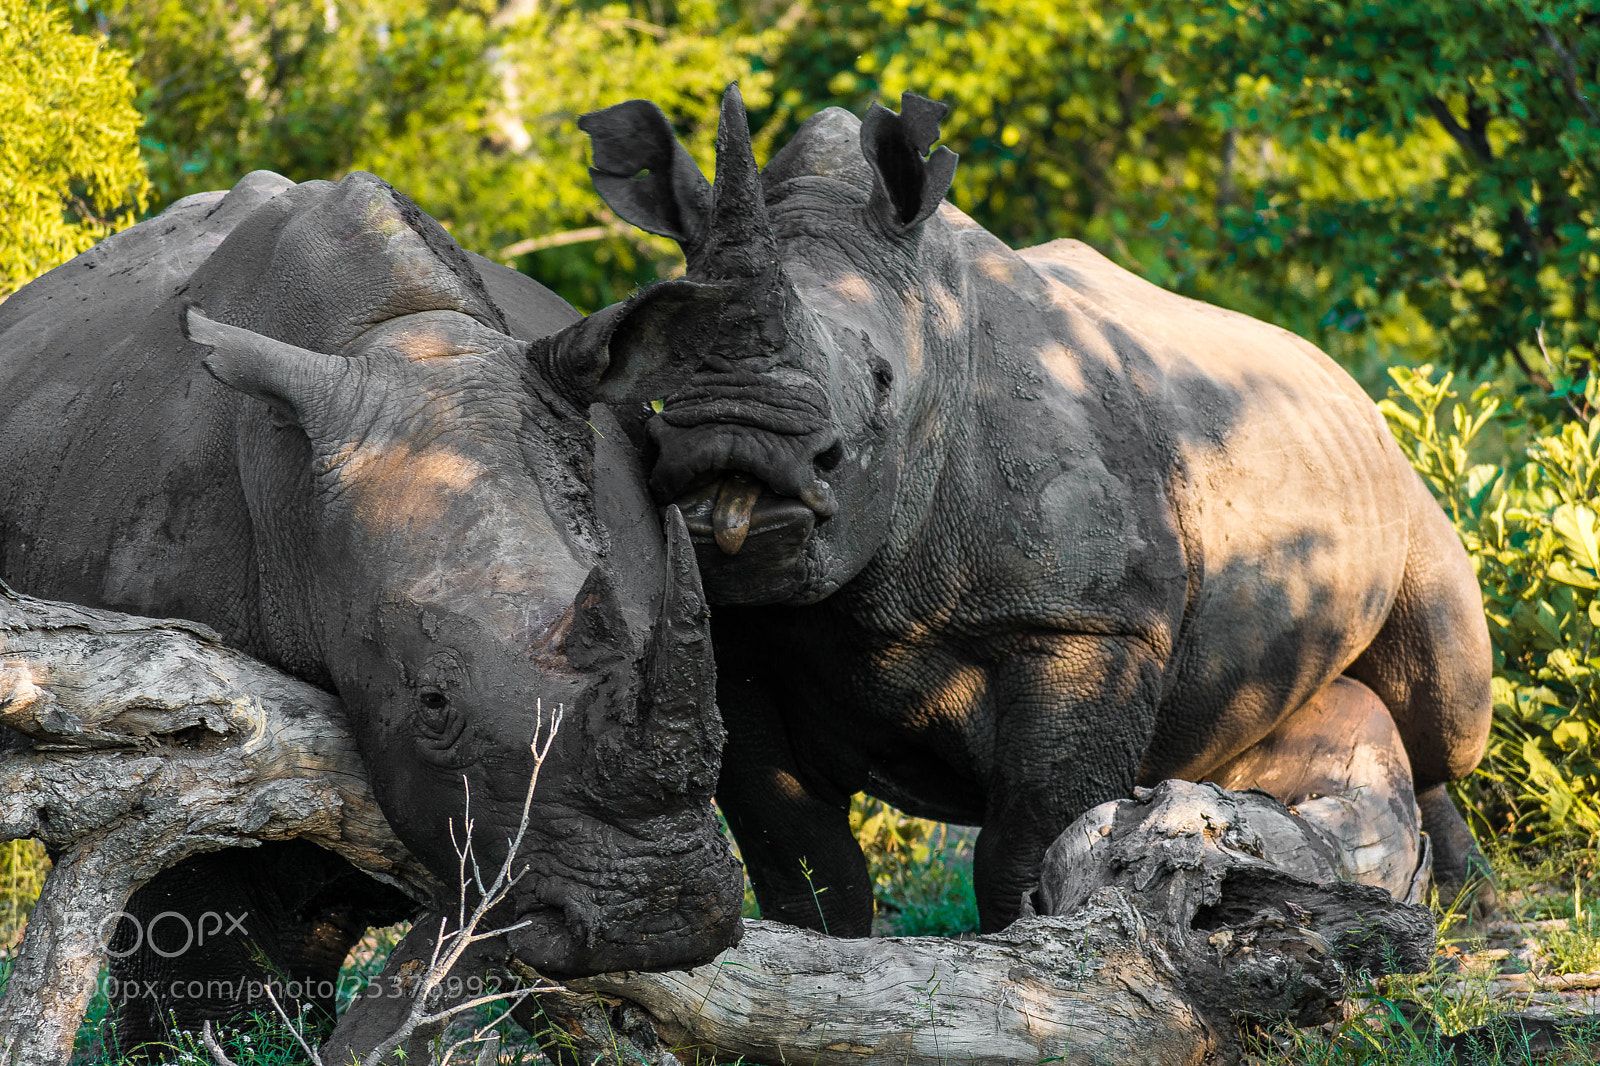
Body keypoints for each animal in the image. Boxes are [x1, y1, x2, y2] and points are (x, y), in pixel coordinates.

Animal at [560, 87, 1495, 936]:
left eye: (881, 382)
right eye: (659, 387)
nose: (733, 449)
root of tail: (1339, 378)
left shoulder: (1088, 620)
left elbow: (1033, 834)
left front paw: (1032, 951)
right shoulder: (739, 631)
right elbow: (796, 848)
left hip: (1398, 472)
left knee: (1448, 708)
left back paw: (1463, 910)